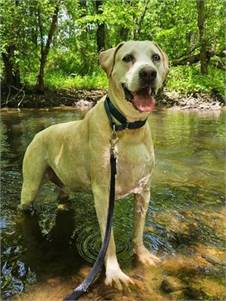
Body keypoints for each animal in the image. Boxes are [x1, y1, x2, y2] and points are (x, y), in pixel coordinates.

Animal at [19, 40, 168, 288]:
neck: (126, 128)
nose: (148, 73)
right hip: (30, 186)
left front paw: (143, 255)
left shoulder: (144, 192)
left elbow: (138, 231)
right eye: (127, 58)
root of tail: (39, 133)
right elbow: (110, 241)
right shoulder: (103, 195)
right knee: (25, 204)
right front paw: (115, 273)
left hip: (63, 183)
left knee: (62, 197)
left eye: (155, 57)